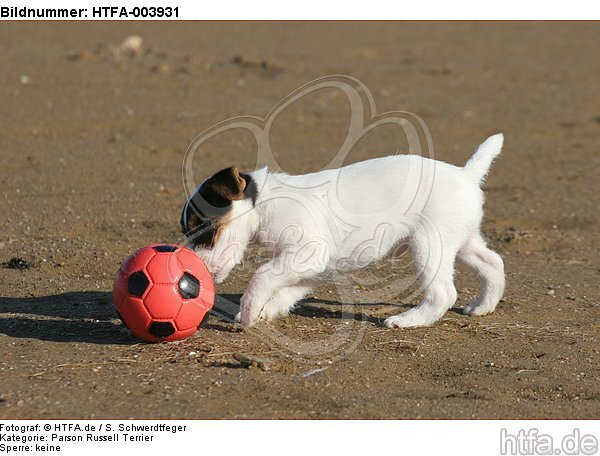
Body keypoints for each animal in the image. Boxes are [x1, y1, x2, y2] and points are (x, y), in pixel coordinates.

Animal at [180, 134, 504, 330]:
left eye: (203, 226)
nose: (194, 266)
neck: (265, 202)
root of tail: (465, 174)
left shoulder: (308, 252)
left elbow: (262, 276)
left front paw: (249, 311)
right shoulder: (310, 266)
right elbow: (285, 290)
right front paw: (266, 310)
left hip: (429, 245)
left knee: (443, 293)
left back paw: (408, 320)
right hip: (463, 241)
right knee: (493, 263)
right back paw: (483, 306)